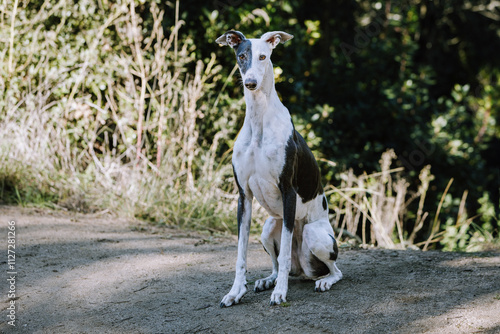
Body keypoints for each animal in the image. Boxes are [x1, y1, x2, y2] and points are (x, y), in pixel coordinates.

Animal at [217, 31, 342, 308]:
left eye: (263, 56)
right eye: (242, 56)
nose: (251, 83)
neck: (259, 121)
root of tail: (302, 270)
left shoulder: (288, 192)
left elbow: (284, 254)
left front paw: (280, 293)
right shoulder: (244, 197)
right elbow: (241, 255)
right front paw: (235, 292)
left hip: (314, 234)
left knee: (333, 269)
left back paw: (323, 281)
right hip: (268, 227)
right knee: (277, 265)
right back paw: (268, 280)